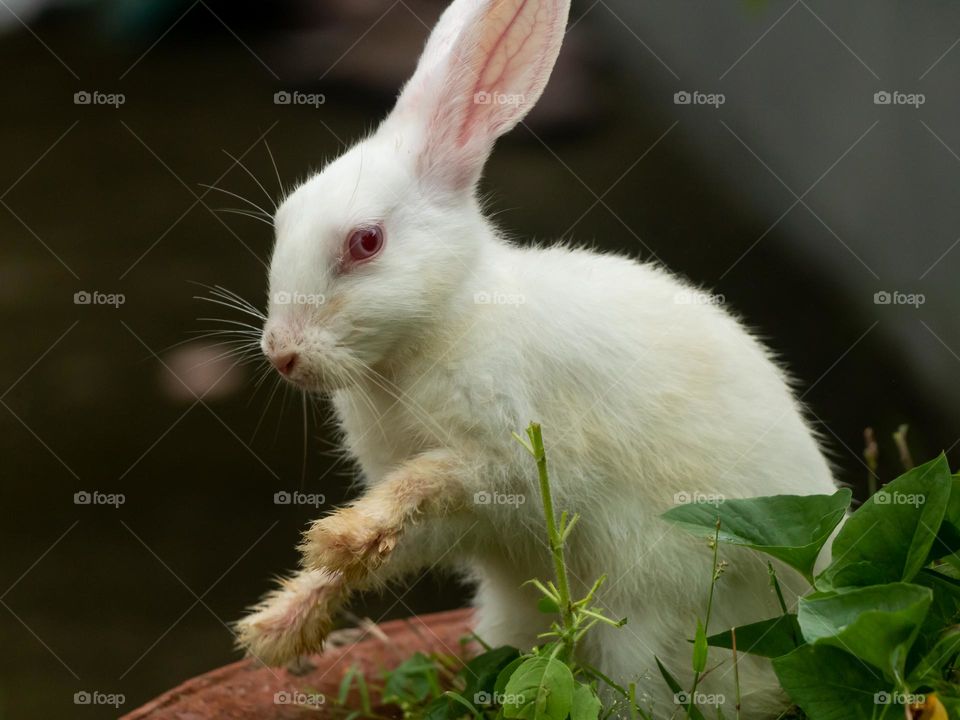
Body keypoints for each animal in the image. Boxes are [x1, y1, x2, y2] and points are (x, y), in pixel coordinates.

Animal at [234, 0, 837, 716]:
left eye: (366, 242)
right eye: (283, 220)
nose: (282, 354)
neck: (442, 322)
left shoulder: (507, 460)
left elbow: (426, 481)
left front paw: (339, 536)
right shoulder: (463, 526)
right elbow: (397, 541)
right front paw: (279, 623)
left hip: (647, 627)